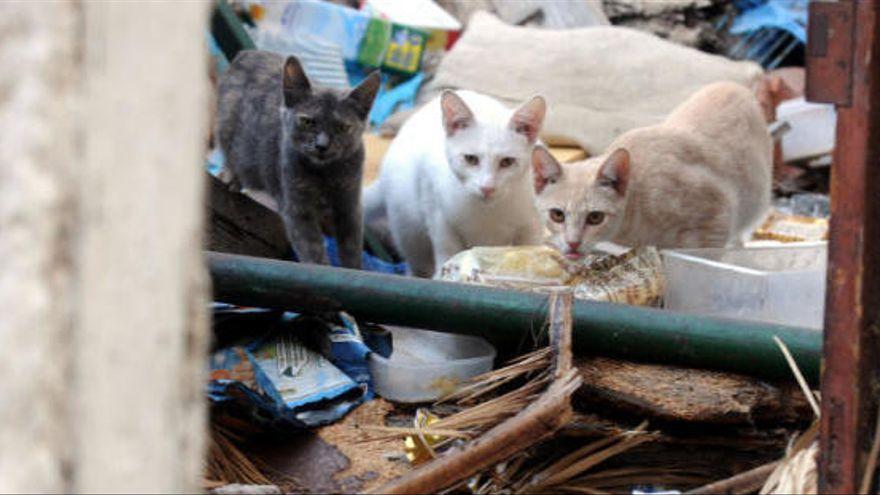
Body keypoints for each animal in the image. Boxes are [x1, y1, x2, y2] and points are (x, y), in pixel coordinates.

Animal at [216, 50, 378, 268]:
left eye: (342, 127)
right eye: (307, 122)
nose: (322, 145)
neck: (325, 175)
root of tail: (248, 53)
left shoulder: (349, 205)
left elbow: (351, 247)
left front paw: (354, 270)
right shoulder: (297, 208)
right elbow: (313, 249)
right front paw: (321, 268)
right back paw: (231, 178)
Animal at [362, 90, 544, 278]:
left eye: (507, 162)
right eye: (471, 159)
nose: (487, 187)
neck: (487, 213)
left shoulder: (532, 221)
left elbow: (529, 247)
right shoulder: (437, 212)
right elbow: (447, 249)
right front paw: (445, 273)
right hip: (408, 228)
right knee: (415, 261)